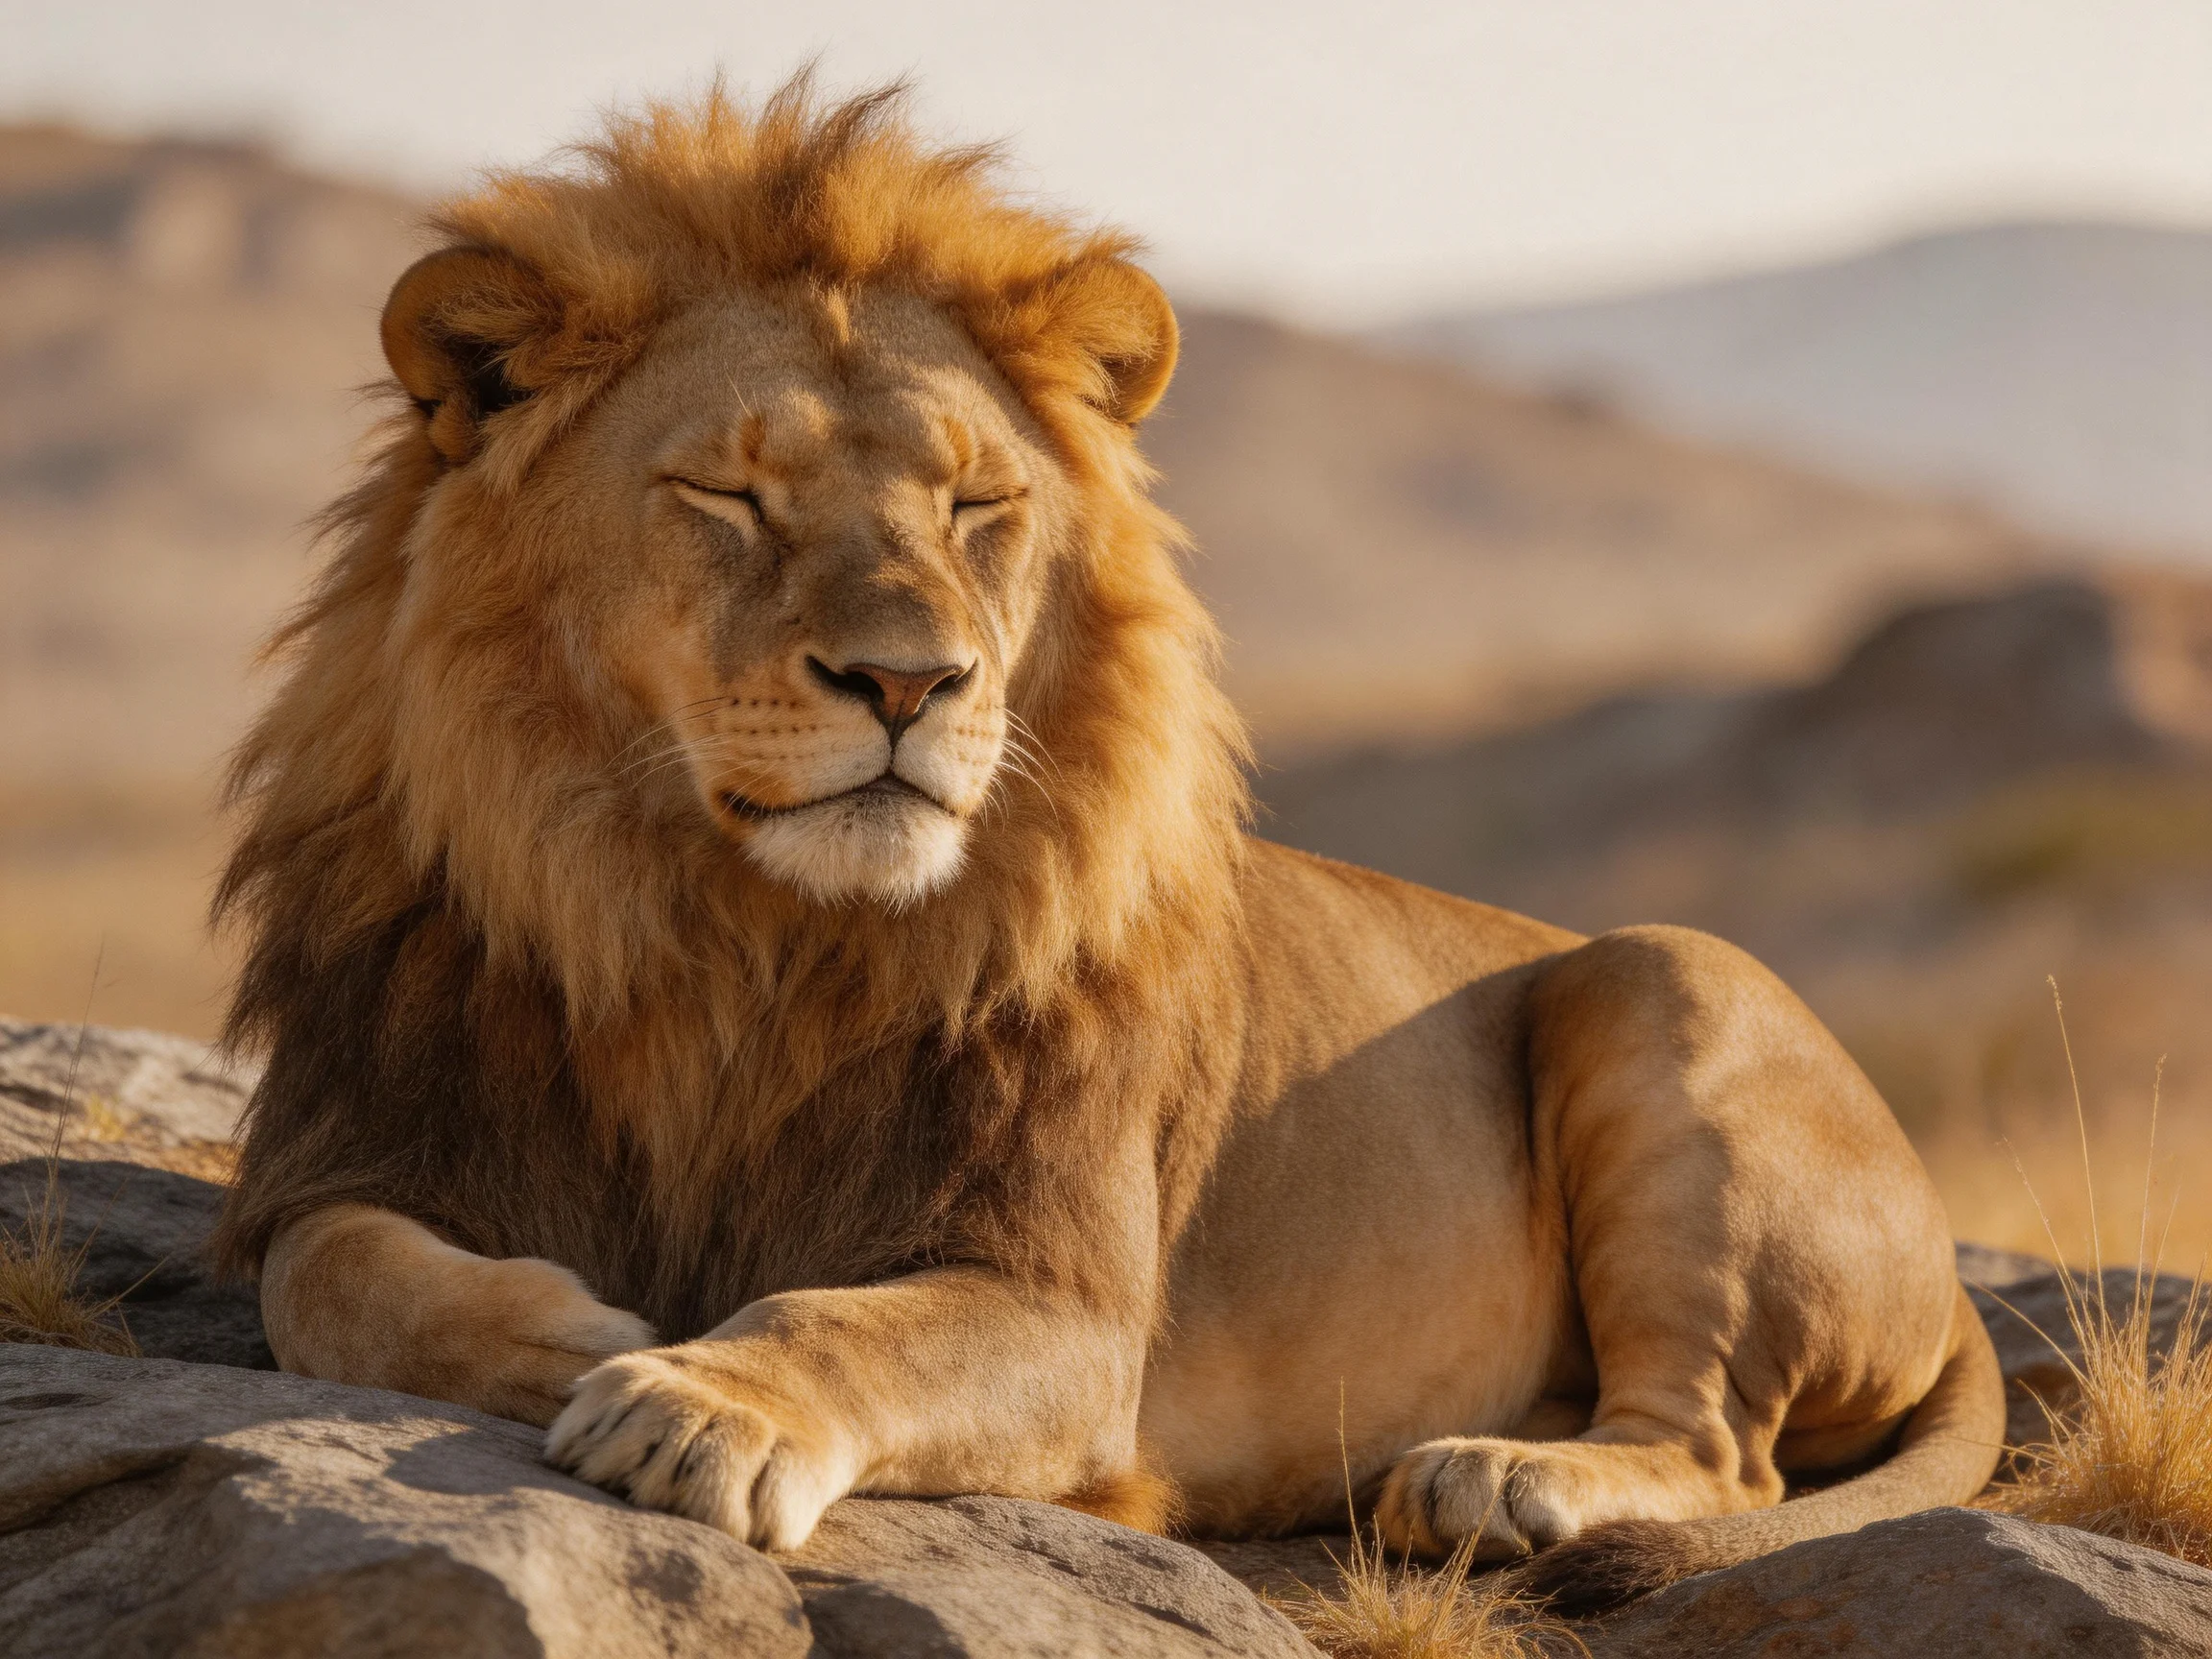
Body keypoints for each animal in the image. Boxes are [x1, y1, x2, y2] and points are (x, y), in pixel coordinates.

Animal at [211, 78, 2004, 1609]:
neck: (729, 932)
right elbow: (327, 1272)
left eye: (976, 505)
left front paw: (692, 1402)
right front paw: (555, 1331)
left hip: (1664, 978)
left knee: (1725, 1448)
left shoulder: (1064, 1308)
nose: (909, 682)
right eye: (729, 496)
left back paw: (1494, 1477)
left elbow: (841, 1324)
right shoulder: (352, 1147)